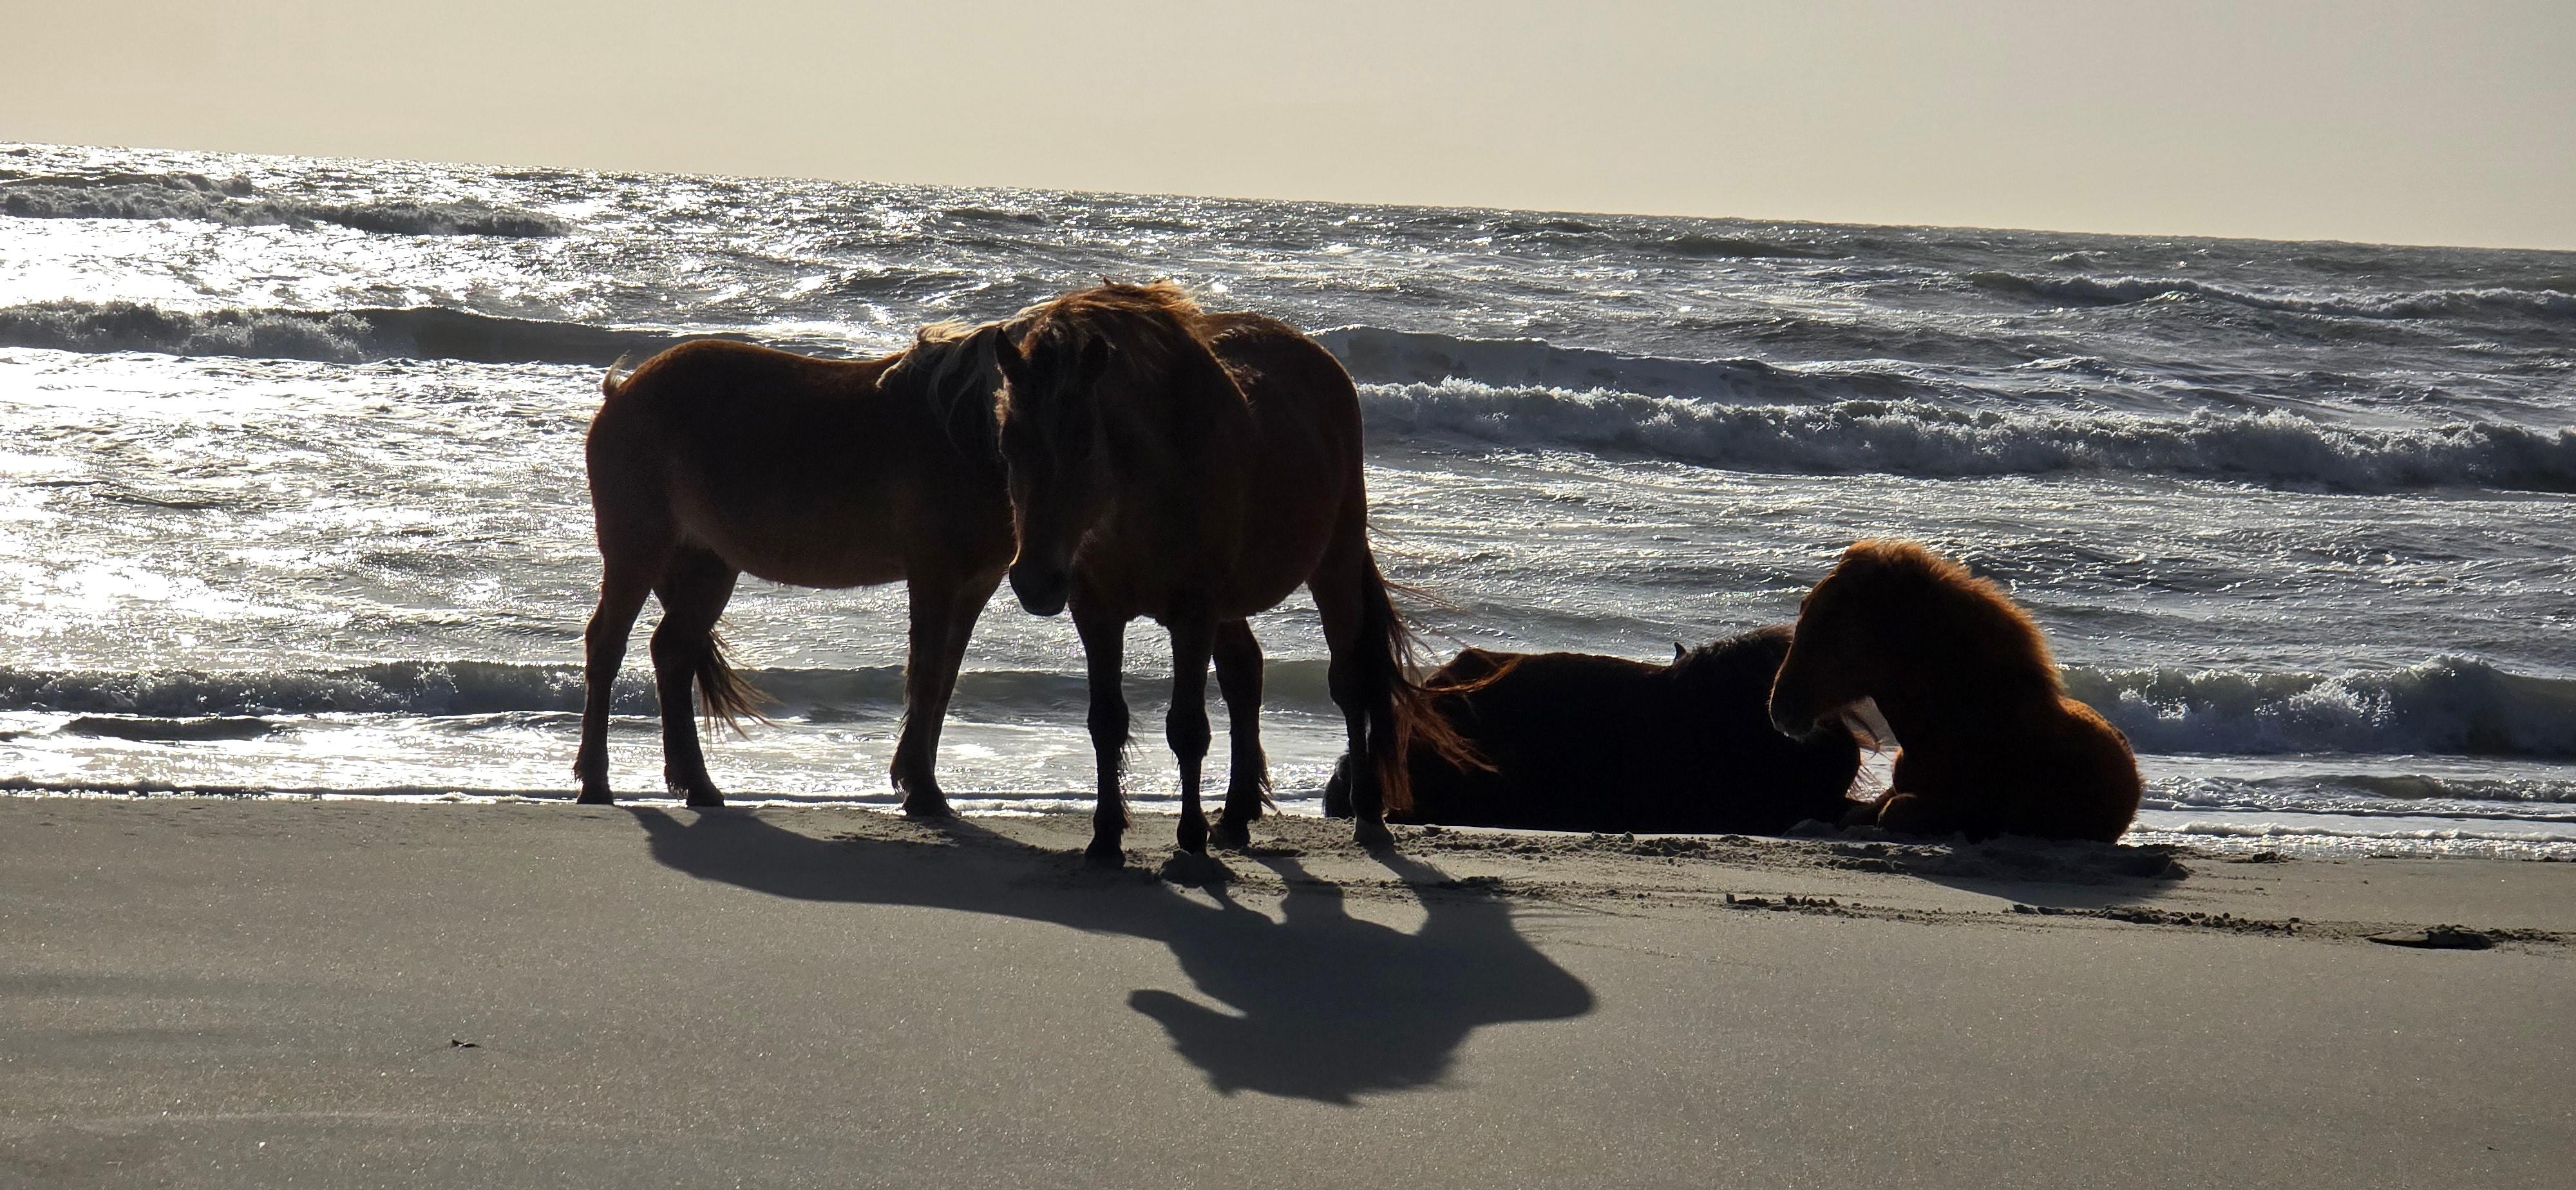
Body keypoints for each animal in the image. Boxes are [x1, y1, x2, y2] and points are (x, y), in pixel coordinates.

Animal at [574, 324, 1015, 813]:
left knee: (672, 650)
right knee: (607, 645)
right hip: (637, 552)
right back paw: (596, 783)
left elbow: (944, 681)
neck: (964, 429)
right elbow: (928, 676)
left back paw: (697, 785)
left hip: (706, 567)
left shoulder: (976, 583)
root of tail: (623, 392)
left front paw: (920, 781)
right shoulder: (935, 575)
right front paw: (922, 789)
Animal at [989, 282, 1474, 865]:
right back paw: (1238, 814)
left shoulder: (1193, 614)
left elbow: (1187, 729)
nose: (1035, 581)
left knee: (1350, 680)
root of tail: (1321, 359)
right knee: (1247, 673)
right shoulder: (1097, 613)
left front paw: (1190, 841)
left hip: (1334, 565)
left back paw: (1367, 815)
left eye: (1085, 444)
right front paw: (1105, 840)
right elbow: (1106, 722)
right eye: (1008, 441)